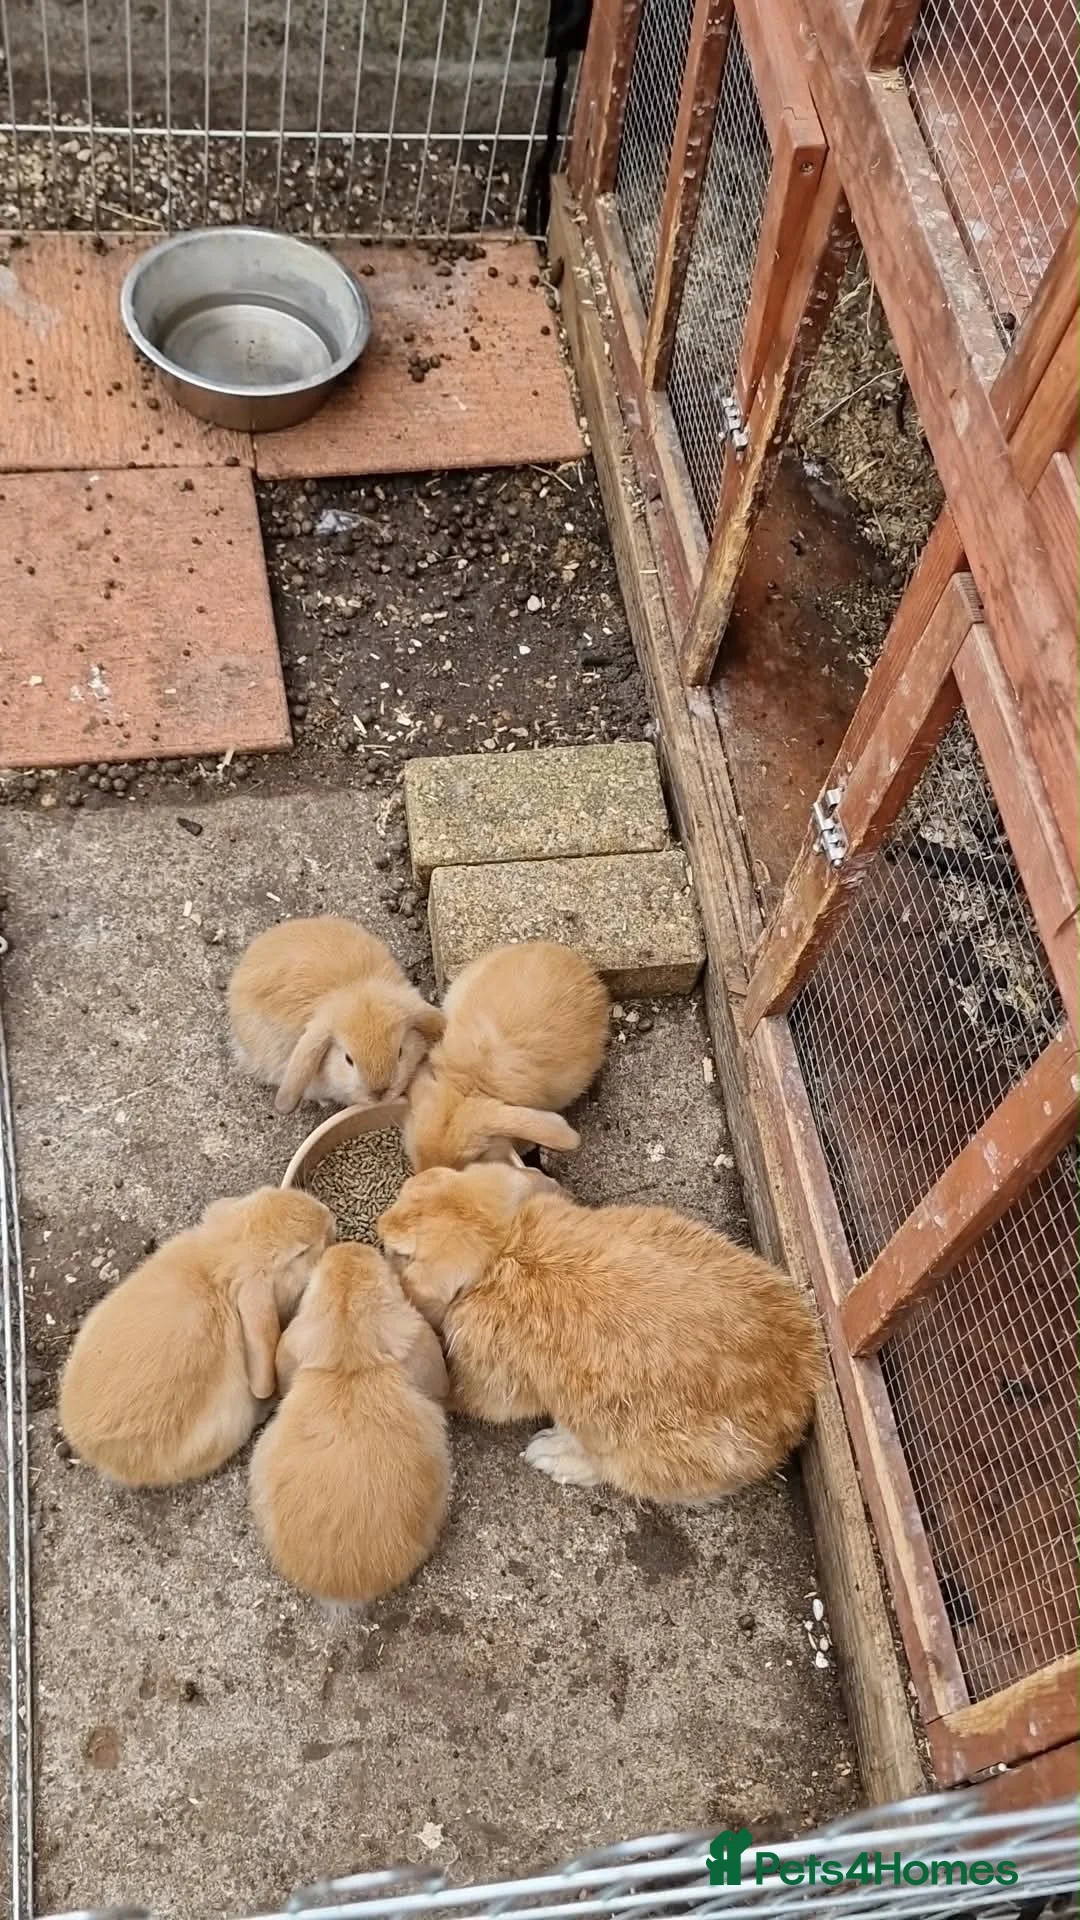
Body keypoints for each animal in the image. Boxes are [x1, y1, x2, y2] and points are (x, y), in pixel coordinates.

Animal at [379, 1164, 822, 1503]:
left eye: (401, 1254)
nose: (382, 1224)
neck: (503, 1249)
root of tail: (796, 1410)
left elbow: (480, 1399)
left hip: (626, 1446)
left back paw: (549, 1454)